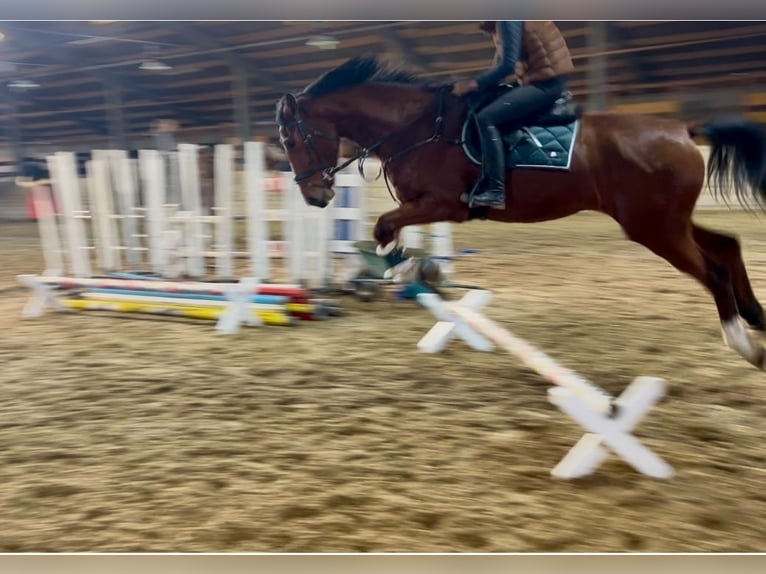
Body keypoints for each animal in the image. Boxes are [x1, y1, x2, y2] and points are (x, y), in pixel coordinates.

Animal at [280, 56, 766, 372]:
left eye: (293, 139)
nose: (315, 196)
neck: (415, 128)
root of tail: (681, 129)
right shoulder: (423, 205)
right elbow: (388, 229)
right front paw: (399, 268)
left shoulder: (444, 205)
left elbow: (384, 226)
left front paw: (397, 269)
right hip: (665, 221)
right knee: (727, 247)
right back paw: (756, 316)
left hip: (655, 228)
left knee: (713, 271)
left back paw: (744, 344)